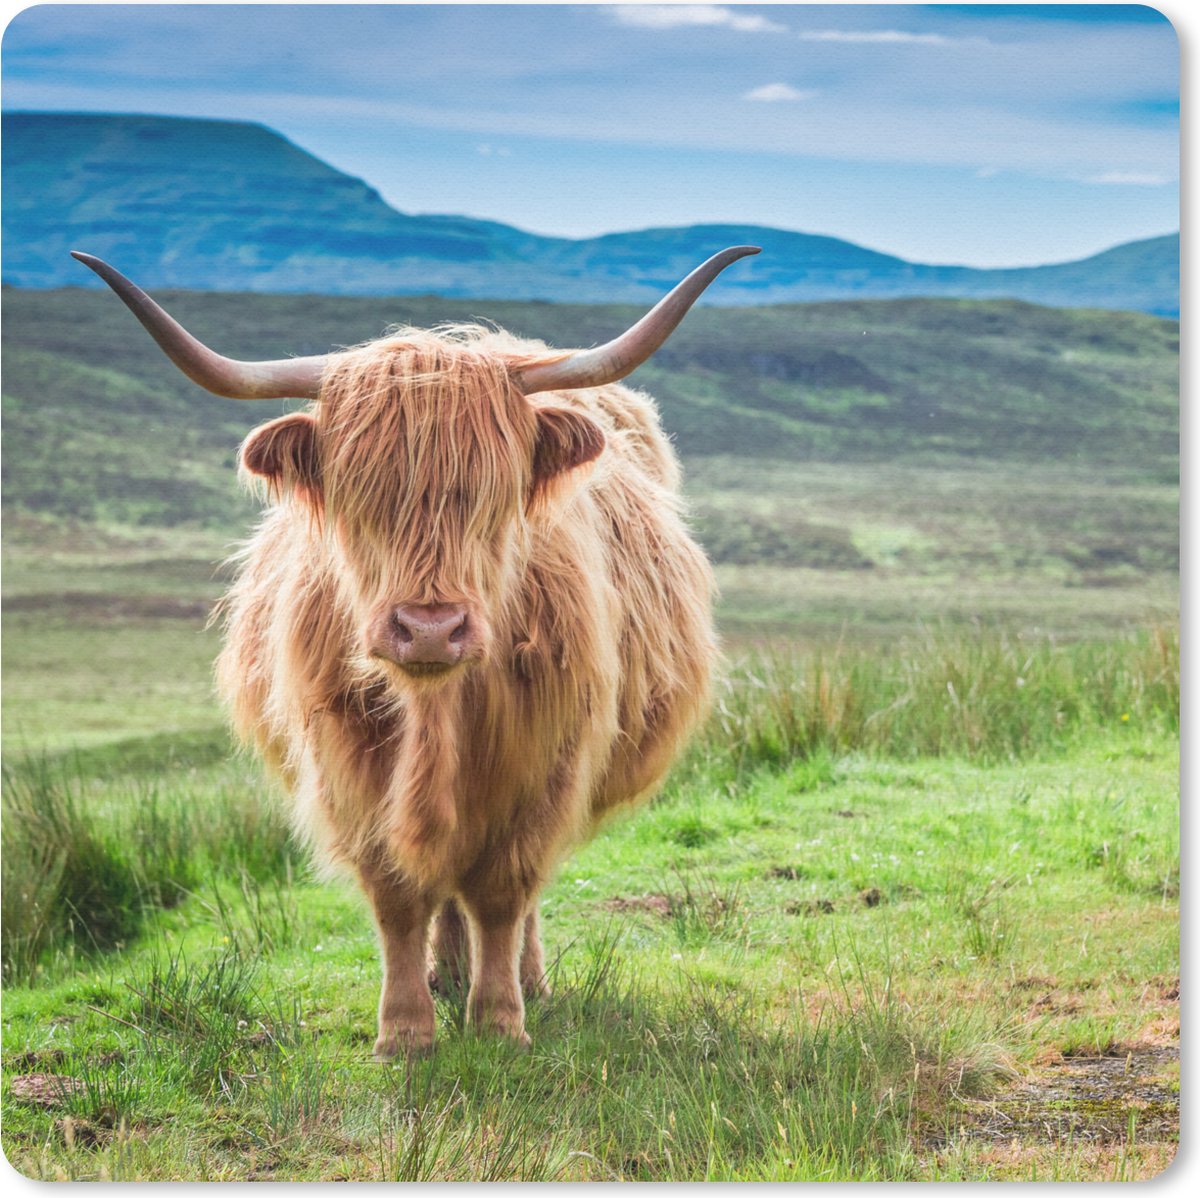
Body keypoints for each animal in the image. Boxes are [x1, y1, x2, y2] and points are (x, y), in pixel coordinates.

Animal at [73, 245, 758, 1056]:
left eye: (493, 495)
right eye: (359, 497)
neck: (437, 709)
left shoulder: (545, 763)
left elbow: (503, 890)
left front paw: (499, 1021)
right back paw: (446, 973)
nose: (430, 628)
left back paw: (523, 980)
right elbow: (399, 894)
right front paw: (405, 1030)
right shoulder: (348, 764)